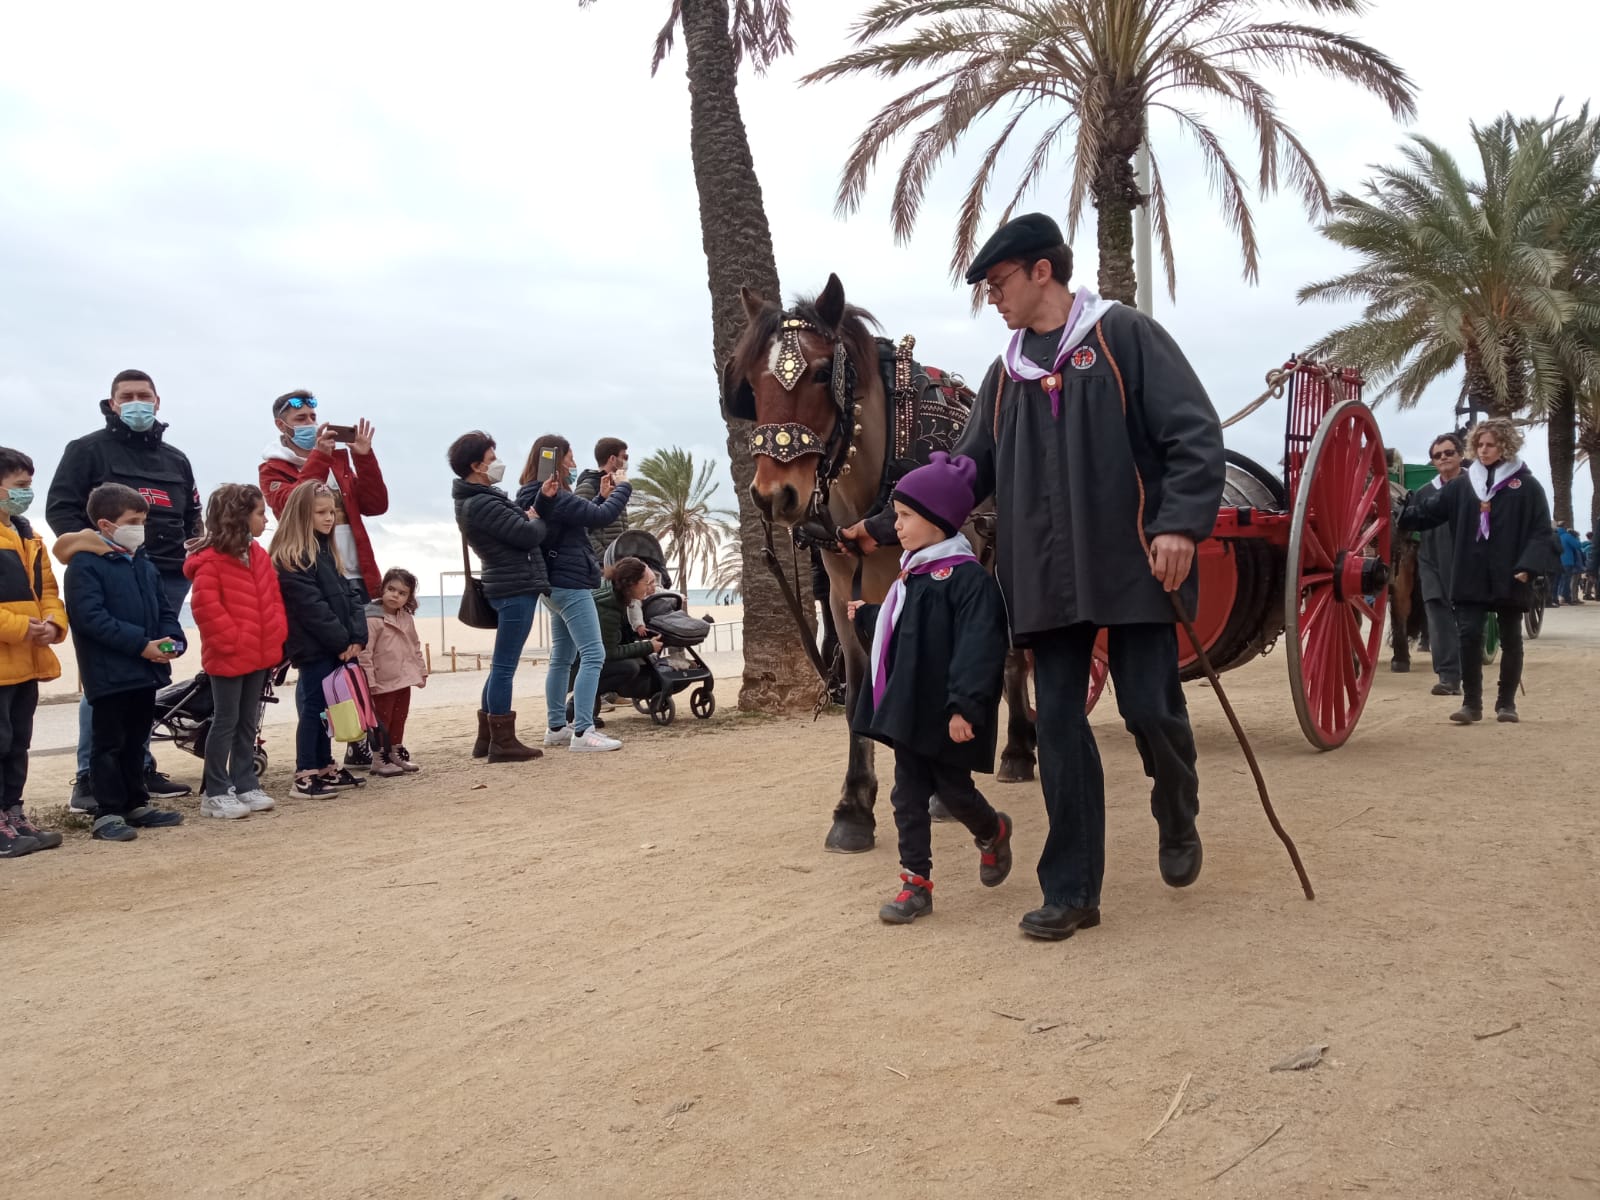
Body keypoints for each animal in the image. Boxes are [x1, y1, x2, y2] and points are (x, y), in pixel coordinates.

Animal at [720, 272, 1030, 857]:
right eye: (748, 381)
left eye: (823, 373)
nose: (774, 495)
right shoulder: (846, 598)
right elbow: (862, 692)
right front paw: (854, 807)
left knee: (1012, 661)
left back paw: (1019, 752)